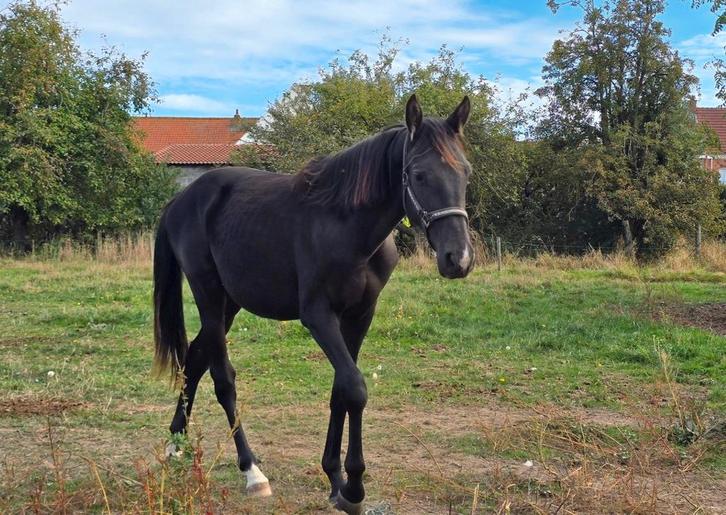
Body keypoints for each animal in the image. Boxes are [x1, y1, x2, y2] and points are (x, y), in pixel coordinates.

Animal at [152, 94, 474, 513]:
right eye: (419, 175)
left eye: (465, 172)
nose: (459, 259)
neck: (346, 225)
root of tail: (181, 199)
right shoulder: (319, 317)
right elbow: (355, 388)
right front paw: (354, 487)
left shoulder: (359, 316)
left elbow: (341, 390)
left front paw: (335, 479)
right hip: (208, 293)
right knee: (223, 379)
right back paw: (251, 471)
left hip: (229, 304)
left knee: (194, 360)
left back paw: (175, 445)